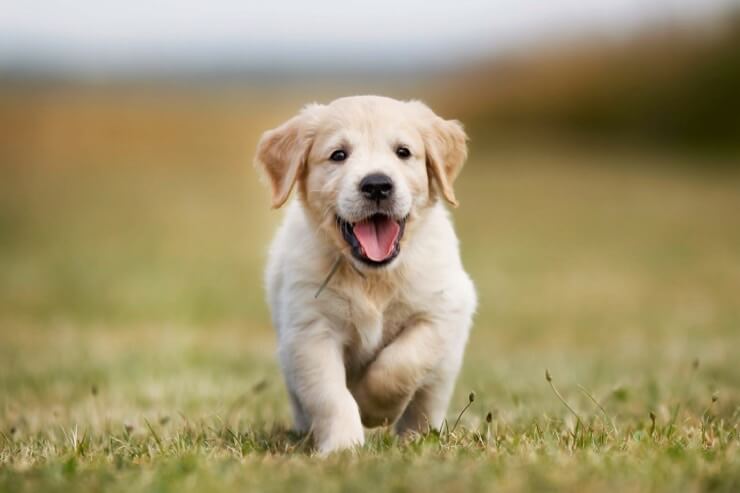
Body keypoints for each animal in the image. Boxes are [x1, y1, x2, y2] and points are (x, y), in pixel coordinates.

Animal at [254, 95, 474, 454]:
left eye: (403, 152)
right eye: (338, 155)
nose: (377, 185)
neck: (373, 277)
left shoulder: (442, 311)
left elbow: (402, 363)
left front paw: (372, 408)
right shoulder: (310, 331)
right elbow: (331, 395)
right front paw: (343, 446)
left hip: (445, 367)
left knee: (427, 399)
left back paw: (418, 436)